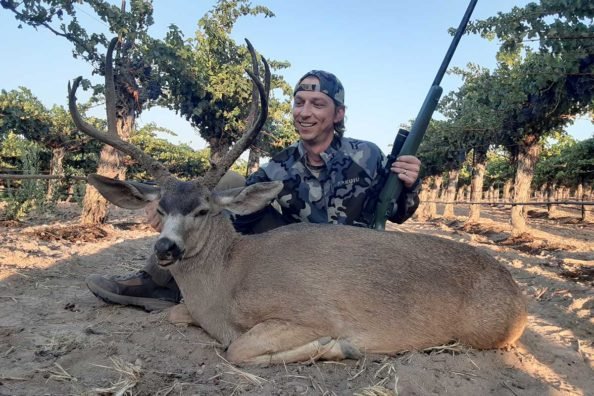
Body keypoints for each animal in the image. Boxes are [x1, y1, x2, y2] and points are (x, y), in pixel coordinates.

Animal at [67, 37, 524, 366]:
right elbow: (176, 313)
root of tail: (518, 296)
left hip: (484, 333)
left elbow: (238, 350)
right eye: (159, 210)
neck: (227, 281)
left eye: (203, 209)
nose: (166, 247)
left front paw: (339, 347)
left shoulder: (311, 313)